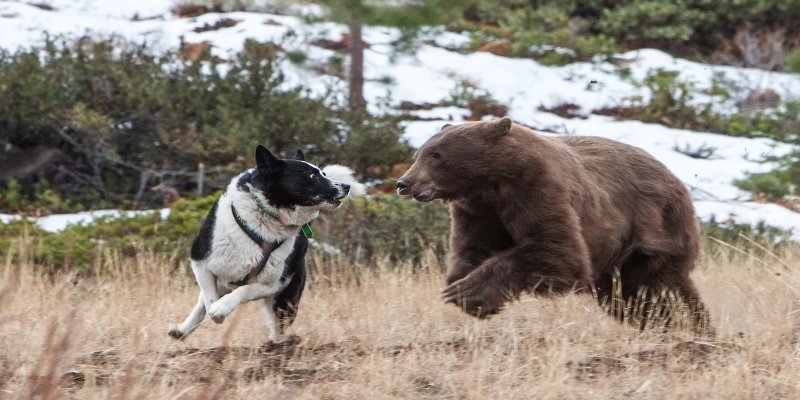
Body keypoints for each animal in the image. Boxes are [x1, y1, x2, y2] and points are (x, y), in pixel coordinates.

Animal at [172, 145, 368, 342]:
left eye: (324, 173)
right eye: (313, 176)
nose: (346, 186)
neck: (264, 218)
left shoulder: (273, 283)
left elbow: (243, 291)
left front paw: (221, 309)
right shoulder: (200, 261)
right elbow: (208, 298)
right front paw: (215, 311)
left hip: (287, 299)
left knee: (278, 326)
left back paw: (275, 344)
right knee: (203, 301)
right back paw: (181, 330)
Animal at [396, 117, 708, 332]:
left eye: (437, 155)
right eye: (419, 154)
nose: (404, 183)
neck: (492, 181)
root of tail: (676, 179)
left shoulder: (537, 189)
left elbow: (557, 251)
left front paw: (468, 291)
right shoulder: (479, 210)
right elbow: (474, 248)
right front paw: (461, 286)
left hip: (653, 232)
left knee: (656, 288)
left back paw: (690, 328)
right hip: (620, 260)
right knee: (631, 297)